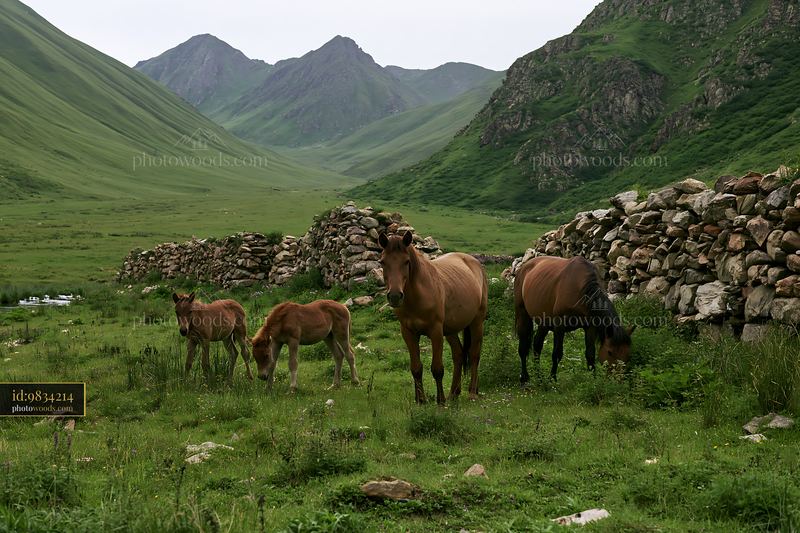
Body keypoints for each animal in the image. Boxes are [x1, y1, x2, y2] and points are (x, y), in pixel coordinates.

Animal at [379, 231, 488, 404]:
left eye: (406, 262)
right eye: (383, 262)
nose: (395, 296)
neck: (418, 296)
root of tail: (474, 263)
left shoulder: (435, 331)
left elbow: (437, 369)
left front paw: (440, 401)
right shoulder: (408, 333)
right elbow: (416, 368)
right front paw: (421, 401)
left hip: (477, 322)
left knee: (474, 355)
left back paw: (471, 393)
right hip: (451, 330)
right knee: (458, 354)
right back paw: (453, 394)